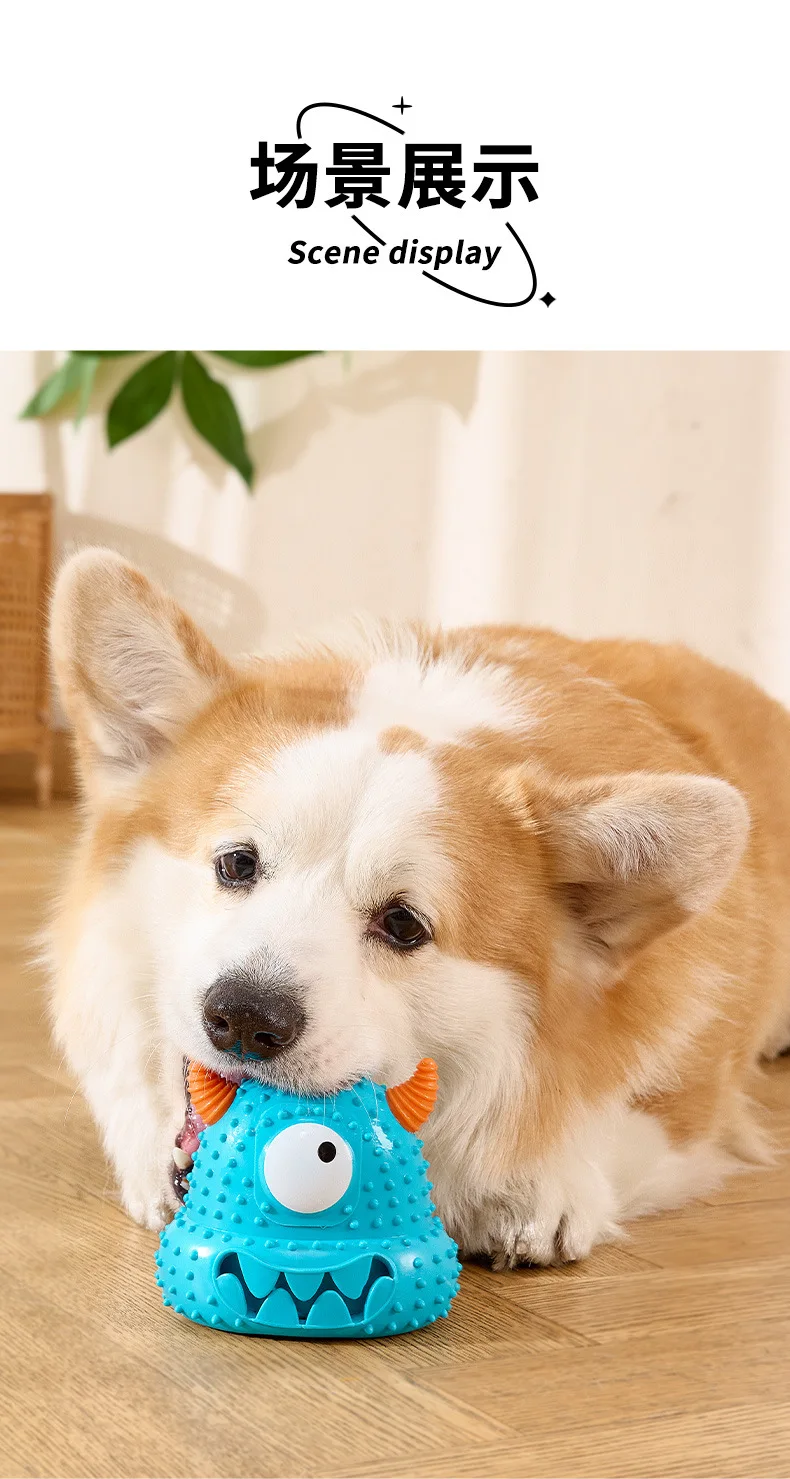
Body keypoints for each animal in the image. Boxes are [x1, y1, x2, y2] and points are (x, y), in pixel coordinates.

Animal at [47, 547, 790, 1268]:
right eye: (236, 863)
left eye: (403, 924)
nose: (246, 1018)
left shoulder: (692, 1094)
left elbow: (601, 1120)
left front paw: (537, 1187)